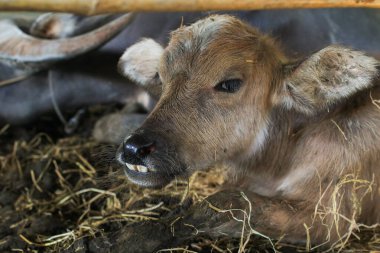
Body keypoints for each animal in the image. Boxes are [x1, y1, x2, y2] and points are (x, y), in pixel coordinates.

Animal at [115, 14, 380, 250]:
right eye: (160, 77)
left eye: (230, 84)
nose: (134, 148)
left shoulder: (329, 219)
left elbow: (223, 204)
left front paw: (130, 239)